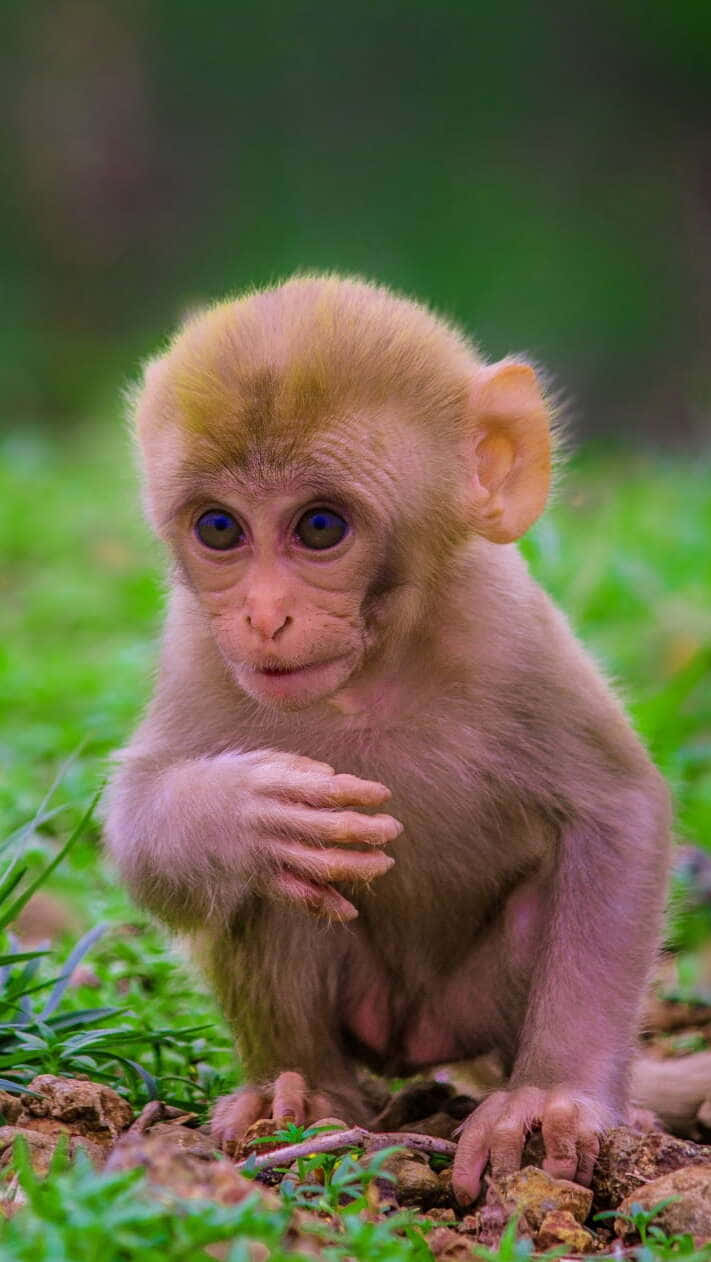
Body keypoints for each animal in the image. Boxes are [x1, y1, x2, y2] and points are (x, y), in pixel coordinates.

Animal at [102, 274, 671, 1204]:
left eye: (320, 527)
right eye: (219, 529)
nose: (263, 617)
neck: (369, 673)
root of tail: (415, 1041)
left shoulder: (506, 625)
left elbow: (617, 813)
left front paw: (552, 1096)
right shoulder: (199, 647)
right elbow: (143, 833)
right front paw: (241, 815)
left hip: (471, 1004)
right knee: (276, 887)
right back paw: (302, 1094)